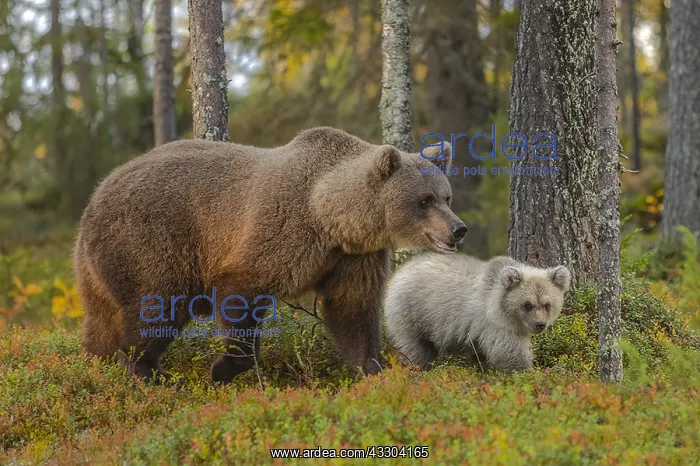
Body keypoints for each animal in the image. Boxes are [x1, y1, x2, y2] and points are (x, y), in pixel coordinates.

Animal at [74, 127, 467, 384]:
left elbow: (352, 309)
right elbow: (240, 292)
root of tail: (94, 197)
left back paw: (98, 365)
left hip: (99, 267)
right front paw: (223, 368)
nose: (458, 229)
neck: (331, 217)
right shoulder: (281, 232)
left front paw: (374, 368)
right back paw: (150, 370)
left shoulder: (351, 257)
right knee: (157, 305)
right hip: (150, 241)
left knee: (102, 322)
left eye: (446, 196)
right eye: (424, 200)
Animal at [383, 253, 570, 372]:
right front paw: (525, 372)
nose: (539, 324)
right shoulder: (496, 325)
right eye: (527, 305)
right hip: (413, 312)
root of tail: (401, 270)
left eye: (547, 305)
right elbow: (510, 353)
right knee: (417, 347)